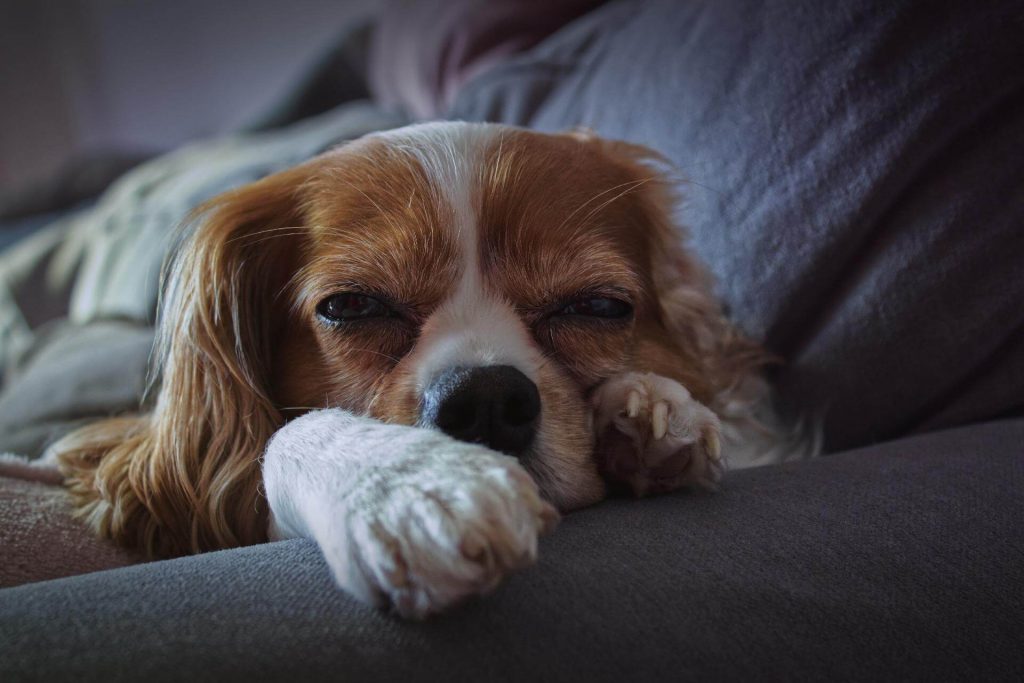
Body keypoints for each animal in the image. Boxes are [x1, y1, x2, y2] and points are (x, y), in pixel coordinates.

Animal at [49, 122, 798, 618]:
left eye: (597, 305)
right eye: (353, 305)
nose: (487, 398)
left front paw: (645, 408)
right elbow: (277, 441)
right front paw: (408, 486)